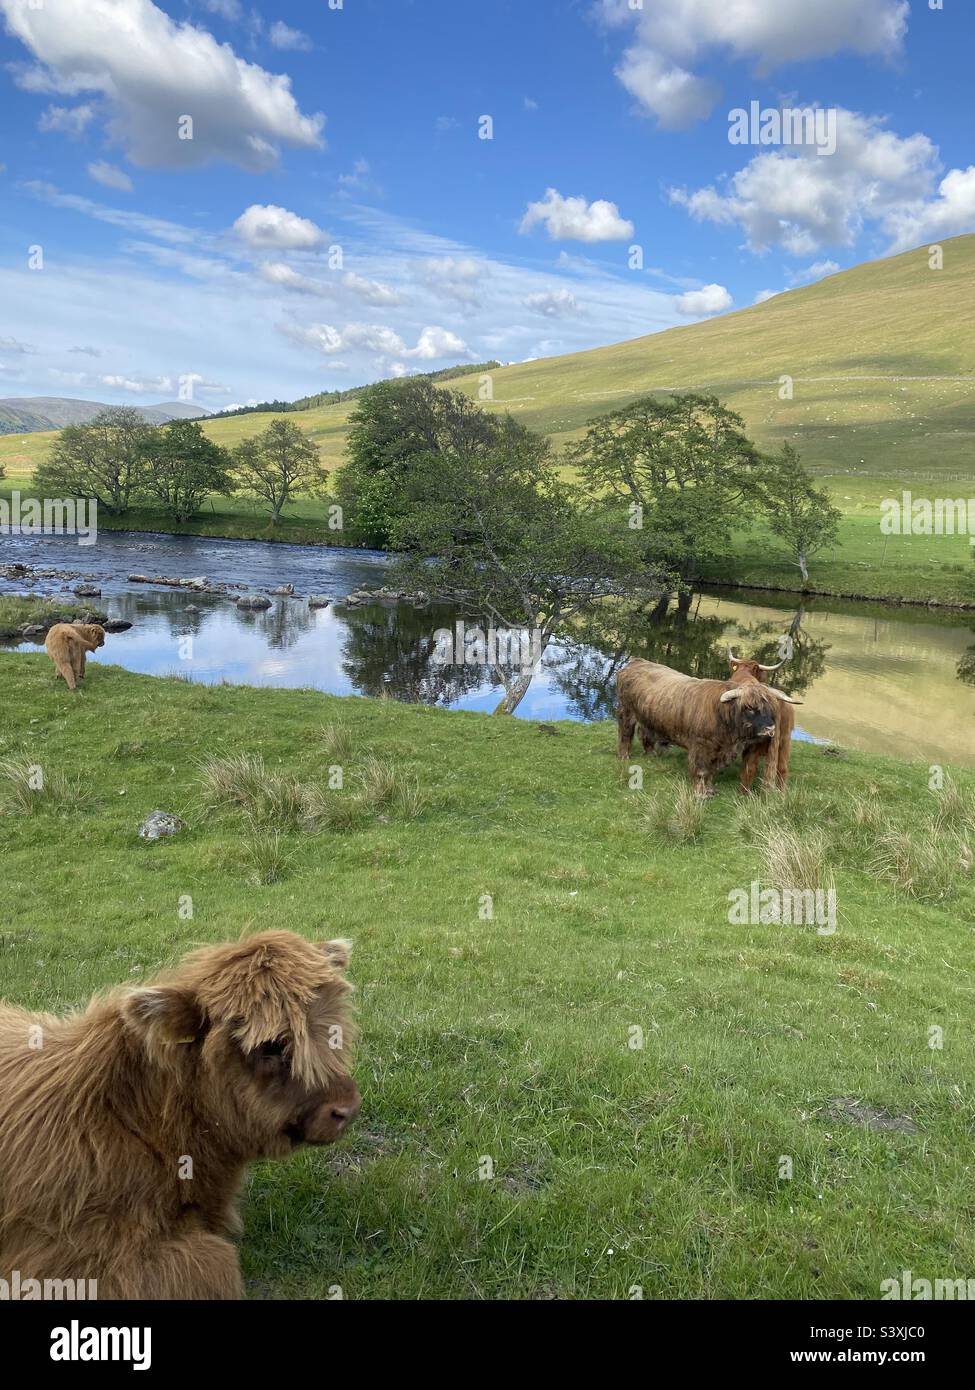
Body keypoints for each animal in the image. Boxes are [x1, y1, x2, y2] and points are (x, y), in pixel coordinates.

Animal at [616, 649, 803, 796]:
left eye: (771, 710)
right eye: (750, 708)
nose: (770, 729)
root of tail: (636, 662)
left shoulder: (719, 750)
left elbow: (711, 771)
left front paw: (710, 789)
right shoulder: (700, 746)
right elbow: (701, 771)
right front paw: (700, 793)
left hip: (647, 715)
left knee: (645, 732)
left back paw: (650, 753)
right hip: (627, 710)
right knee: (626, 731)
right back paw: (624, 756)